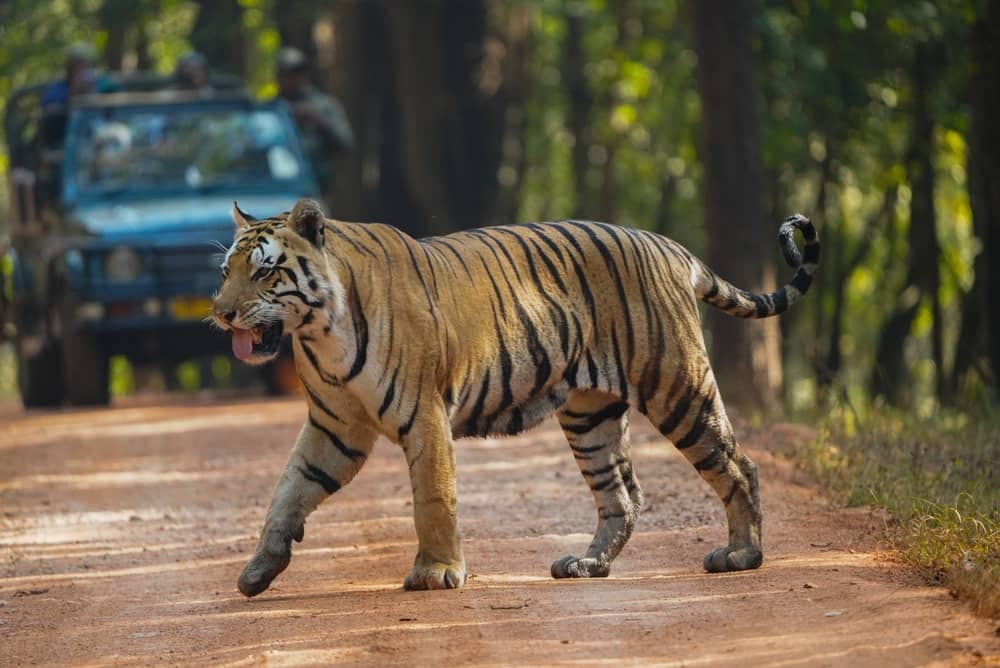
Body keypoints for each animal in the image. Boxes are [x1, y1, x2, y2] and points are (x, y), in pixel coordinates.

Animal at [212, 198, 819, 596]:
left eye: (264, 272)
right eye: (225, 271)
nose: (220, 312)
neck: (320, 331)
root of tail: (667, 246)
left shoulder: (423, 415)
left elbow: (433, 500)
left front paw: (436, 573)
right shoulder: (334, 428)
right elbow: (288, 491)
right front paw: (259, 569)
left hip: (677, 385)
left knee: (738, 465)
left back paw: (741, 555)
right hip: (590, 416)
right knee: (623, 494)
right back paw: (588, 564)